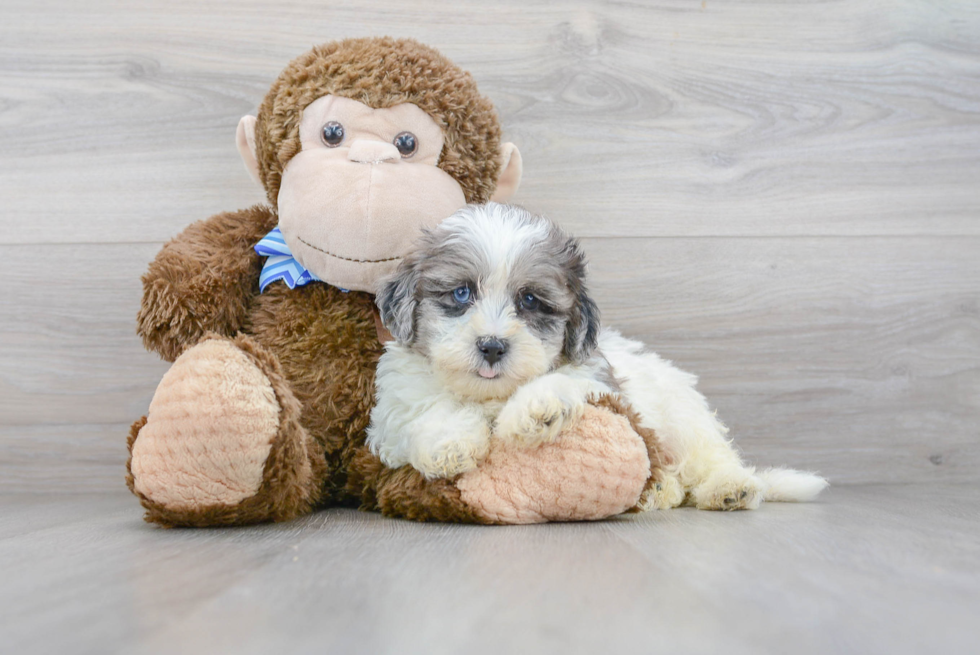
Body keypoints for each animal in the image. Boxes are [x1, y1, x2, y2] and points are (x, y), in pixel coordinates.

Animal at [368, 202, 828, 510]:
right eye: (461, 293)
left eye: (530, 300)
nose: (493, 346)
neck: (489, 398)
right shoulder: (392, 415)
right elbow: (425, 413)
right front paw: (448, 445)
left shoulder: (600, 383)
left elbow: (566, 384)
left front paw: (537, 408)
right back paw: (660, 491)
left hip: (684, 417)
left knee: (708, 457)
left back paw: (729, 488)